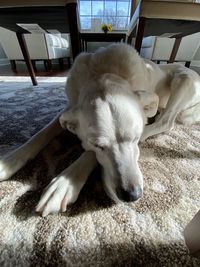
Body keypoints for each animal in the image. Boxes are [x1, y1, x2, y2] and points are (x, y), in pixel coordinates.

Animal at [1, 43, 200, 217]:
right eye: (99, 145)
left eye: (135, 139)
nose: (131, 195)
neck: (104, 73)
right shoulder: (68, 109)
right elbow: (41, 134)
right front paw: (9, 161)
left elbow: (88, 155)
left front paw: (65, 183)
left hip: (184, 80)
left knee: (167, 121)